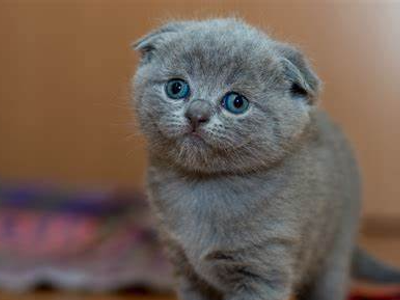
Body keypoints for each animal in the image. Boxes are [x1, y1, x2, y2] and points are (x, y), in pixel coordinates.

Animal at [132, 18, 400, 300]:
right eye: (176, 88)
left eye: (236, 102)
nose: (197, 113)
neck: (201, 189)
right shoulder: (184, 265)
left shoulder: (264, 264)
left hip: (333, 247)